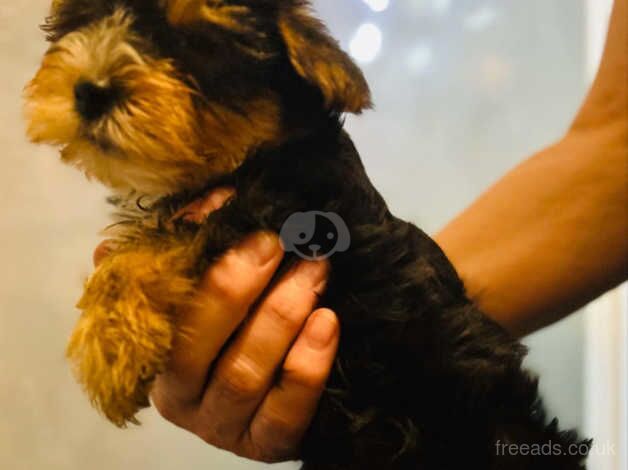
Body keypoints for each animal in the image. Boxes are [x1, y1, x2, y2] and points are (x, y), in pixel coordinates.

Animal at [24, 1, 592, 468]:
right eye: (83, 16)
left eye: (200, 44)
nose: (90, 91)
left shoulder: (289, 207)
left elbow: (171, 239)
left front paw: (109, 350)